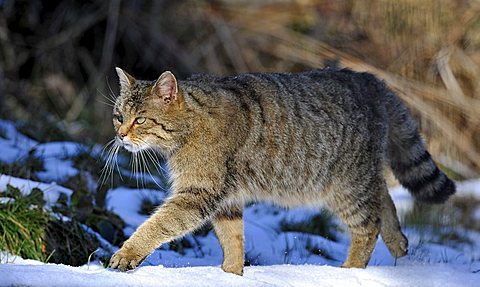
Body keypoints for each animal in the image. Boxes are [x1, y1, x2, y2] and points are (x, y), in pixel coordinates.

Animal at [108, 67, 454, 274]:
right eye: (118, 116)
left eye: (140, 119)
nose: (120, 135)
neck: (187, 127)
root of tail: (368, 78)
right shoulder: (226, 199)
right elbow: (232, 239)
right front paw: (231, 274)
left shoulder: (198, 192)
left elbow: (159, 225)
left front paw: (128, 252)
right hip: (360, 178)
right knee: (384, 197)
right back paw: (397, 241)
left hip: (346, 185)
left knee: (368, 225)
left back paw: (351, 270)